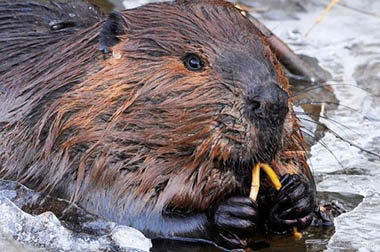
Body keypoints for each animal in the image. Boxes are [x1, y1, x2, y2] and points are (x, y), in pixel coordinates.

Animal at [0, 0, 314, 249]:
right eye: (193, 61)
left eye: (269, 54)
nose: (272, 102)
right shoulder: (73, 152)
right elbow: (133, 214)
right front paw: (228, 215)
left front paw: (295, 197)